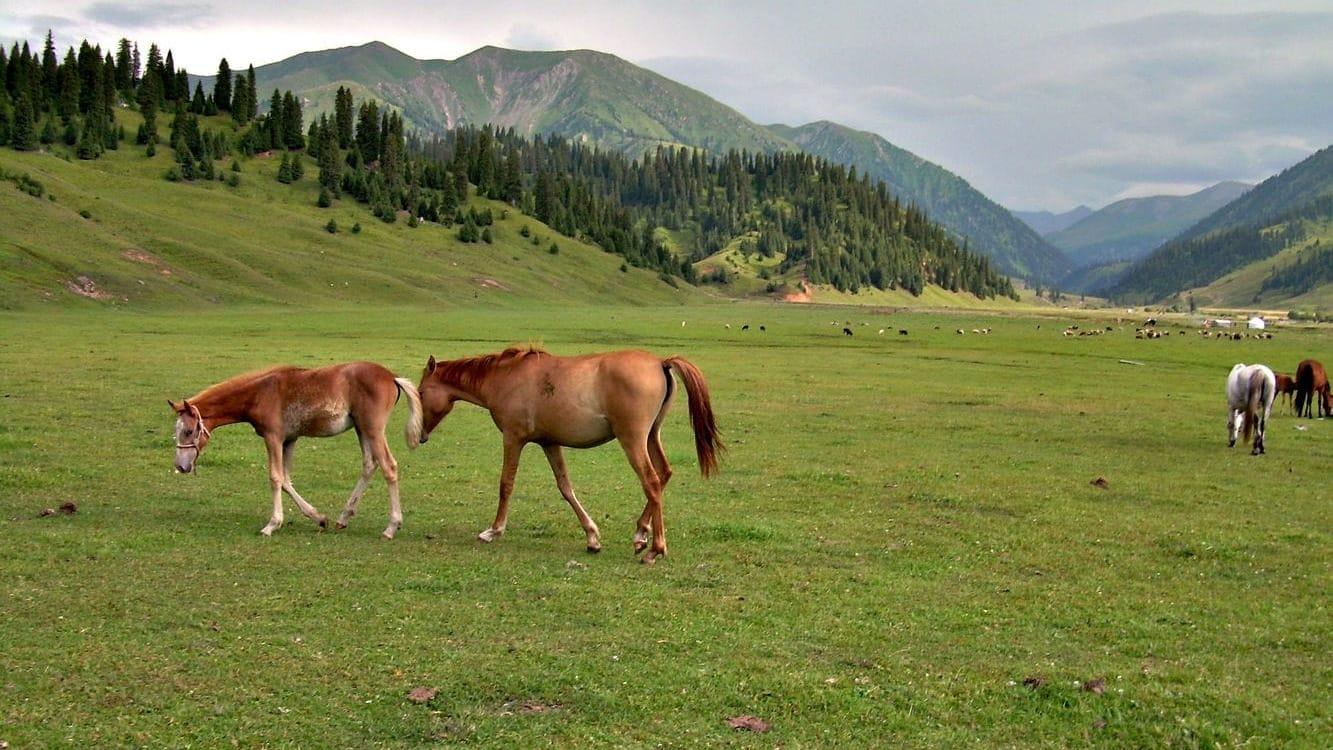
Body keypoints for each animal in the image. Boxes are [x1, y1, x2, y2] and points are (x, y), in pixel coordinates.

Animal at [169, 365, 421, 540]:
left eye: (189, 431)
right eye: (176, 431)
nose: (181, 466)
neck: (260, 393)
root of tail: (391, 376)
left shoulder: (273, 437)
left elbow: (275, 478)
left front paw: (271, 525)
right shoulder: (289, 439)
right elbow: (286, 480)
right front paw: (318, 518)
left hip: (373, 429)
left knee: (389, 466)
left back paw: (391, 527)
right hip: (362, 429)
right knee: (369, 465)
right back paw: (343, 517)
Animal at [418, 346, 725, 564]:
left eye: (420, 392)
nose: (420, 434)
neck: (504, 378)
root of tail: (660, 363)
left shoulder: (513, 439)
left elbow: (506, 484)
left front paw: (493, 531)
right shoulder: (549, 443)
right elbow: (565, 487)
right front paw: (592, 537)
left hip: (633, 439)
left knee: (651, 481)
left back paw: (655, 549)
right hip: (651, 436)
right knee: (664, 475)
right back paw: (640, 534)